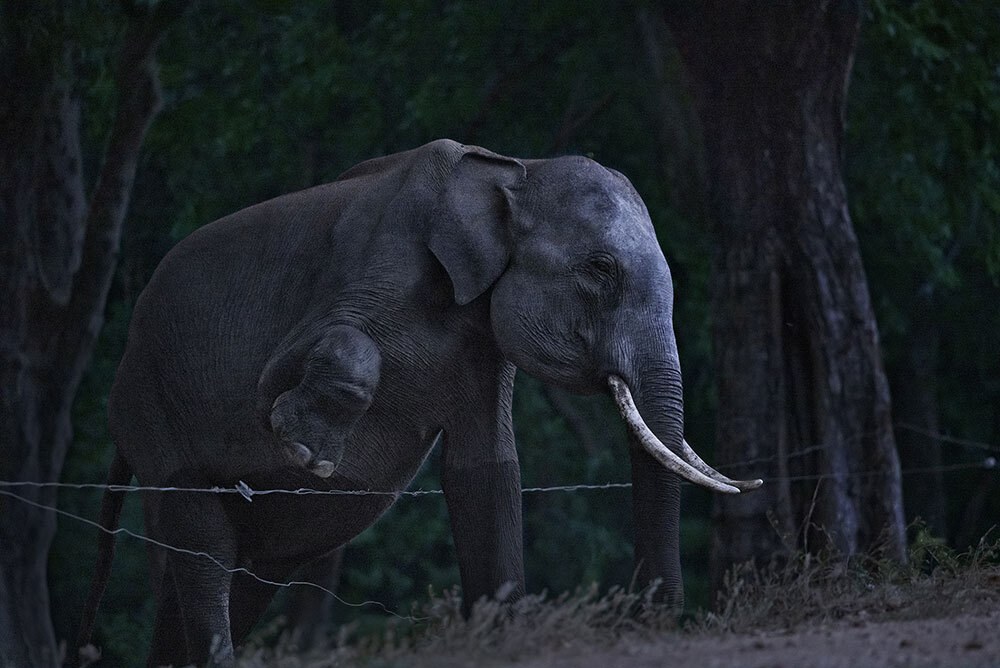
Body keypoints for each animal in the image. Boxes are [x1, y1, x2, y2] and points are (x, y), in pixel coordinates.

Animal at [74, 138, 760, 664]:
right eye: (599, 269)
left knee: (250, 567)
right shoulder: (369, 261)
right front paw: (305, 448)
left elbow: (486, 472)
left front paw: (502, 641)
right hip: (151, 404)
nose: (649, 619)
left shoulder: (484, 341)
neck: (516, 170)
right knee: (206, 543)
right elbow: (279, 378)